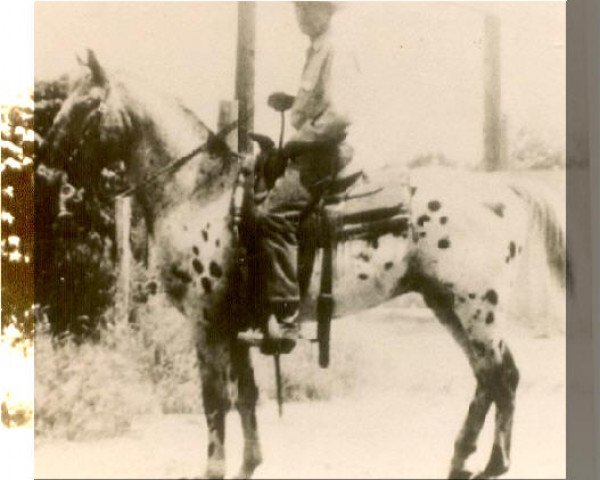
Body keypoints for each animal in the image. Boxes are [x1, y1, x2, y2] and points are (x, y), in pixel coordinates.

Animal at [44, 50, 564, 478]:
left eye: (84, 105)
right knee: (488, 378)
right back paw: (464, 460)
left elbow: (215, 400)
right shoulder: (236, 326)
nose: (48, 162)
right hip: (447, 305)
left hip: (476, 308)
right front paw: (249, 464)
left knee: (502, 376)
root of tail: (497, 190)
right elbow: (246, 396)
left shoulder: (207, 323)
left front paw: (214, 469)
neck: (199, 192)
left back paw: (491, 463)